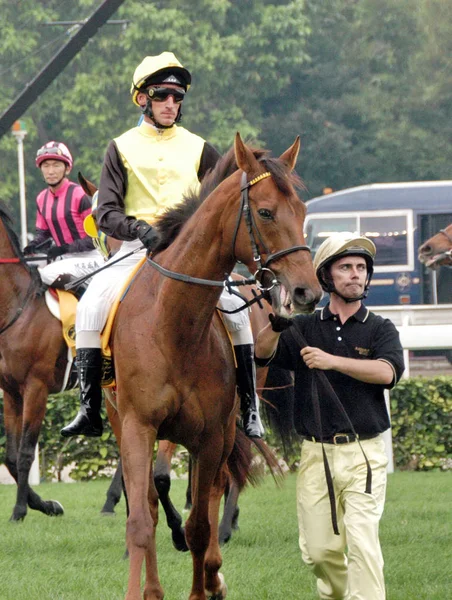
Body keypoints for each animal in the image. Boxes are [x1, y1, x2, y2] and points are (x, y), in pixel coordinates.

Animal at [109, 136, 322, 600]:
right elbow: (142, 520)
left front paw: (204, 584)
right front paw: (145, 588)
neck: (174, 326)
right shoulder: (138, 427)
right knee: (153, 502)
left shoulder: (208, 436)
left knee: (219, 488)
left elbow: (199, 524)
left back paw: (213, 572)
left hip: (227, 429)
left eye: (302, 211)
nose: (307, 292)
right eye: (265, 212)